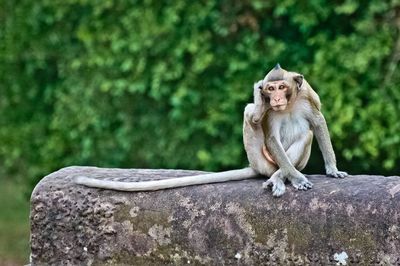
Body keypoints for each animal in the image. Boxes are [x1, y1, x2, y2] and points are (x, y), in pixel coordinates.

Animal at [76, 64, 346, 196]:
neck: (289, 104)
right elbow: (271, 137)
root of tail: (256, 167)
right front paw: (297, 179)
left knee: (306, 135)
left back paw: (280, 177)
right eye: (270, 89)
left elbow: (317, 123)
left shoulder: (307, 96)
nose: (275, 98)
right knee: (251, 115)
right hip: (259, 159)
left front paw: (332, 170)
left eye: (282, 86)